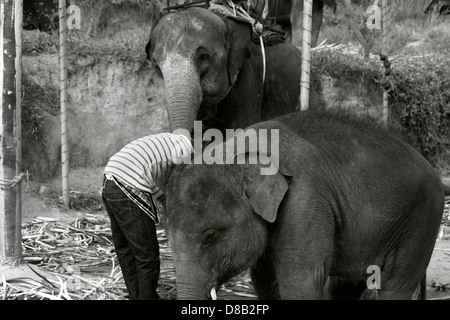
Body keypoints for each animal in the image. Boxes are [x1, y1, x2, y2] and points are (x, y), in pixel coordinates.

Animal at [164, 110, 442, 300]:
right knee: (345, 285)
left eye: (209, 236)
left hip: (421, 223)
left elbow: (300, 281)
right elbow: (264, 281)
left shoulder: (305, 201)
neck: (235, 151)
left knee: (394, 286)